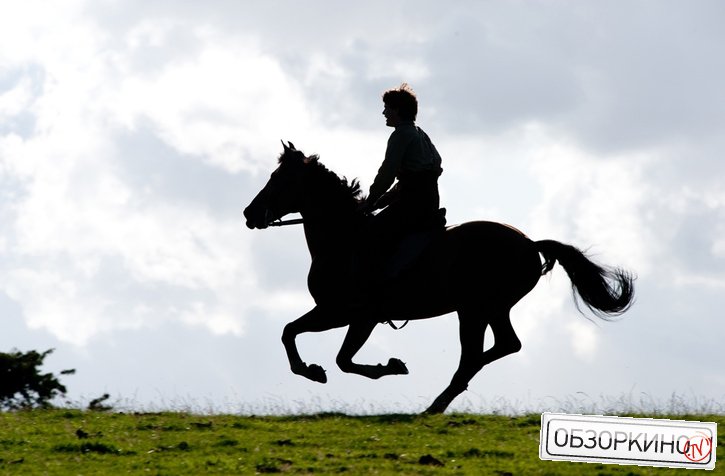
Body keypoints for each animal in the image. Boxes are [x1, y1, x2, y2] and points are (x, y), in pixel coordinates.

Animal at [243, 141, 632, 412]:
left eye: (278, 180)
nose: (249, 214)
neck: (344, 239)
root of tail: (530, 243)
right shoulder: (336, 313)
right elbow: (292, 333)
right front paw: (313, 370)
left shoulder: (352, 315)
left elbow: (336, 356)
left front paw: (386, 367)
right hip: (488, 309)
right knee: (503, 346)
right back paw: (444, 398)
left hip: (475, 310)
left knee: (476, 355)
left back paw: (437, 403)